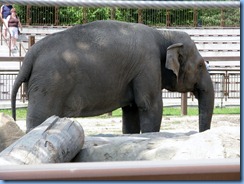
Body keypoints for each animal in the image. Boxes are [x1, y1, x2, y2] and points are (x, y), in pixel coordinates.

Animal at [10, 20, 214, 133]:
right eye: (200, 65)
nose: (201, 133)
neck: (164, 34)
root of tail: (31, 54)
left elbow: (131, 112)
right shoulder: (147, 66)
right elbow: (151, 106)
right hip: (49, 86)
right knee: (38, 121)